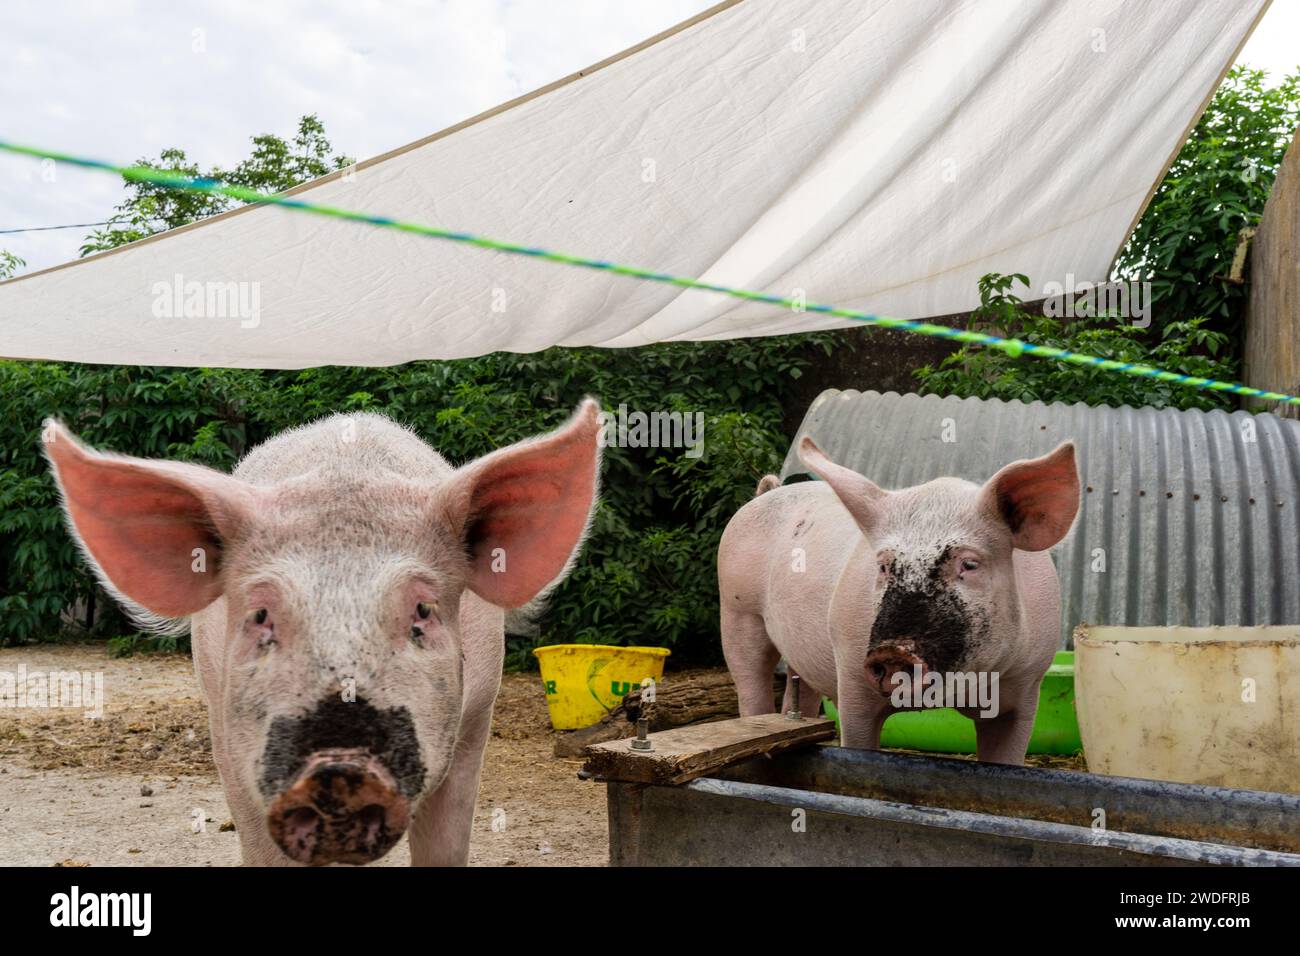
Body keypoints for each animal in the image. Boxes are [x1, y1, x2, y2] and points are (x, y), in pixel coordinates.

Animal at [722, 437, 1076, 764]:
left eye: (970, 564)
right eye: (883, 566)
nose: (893, 650)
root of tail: (765, 493)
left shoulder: (1027, 685)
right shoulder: (851, 674)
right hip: (738, 612)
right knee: (751, 685)